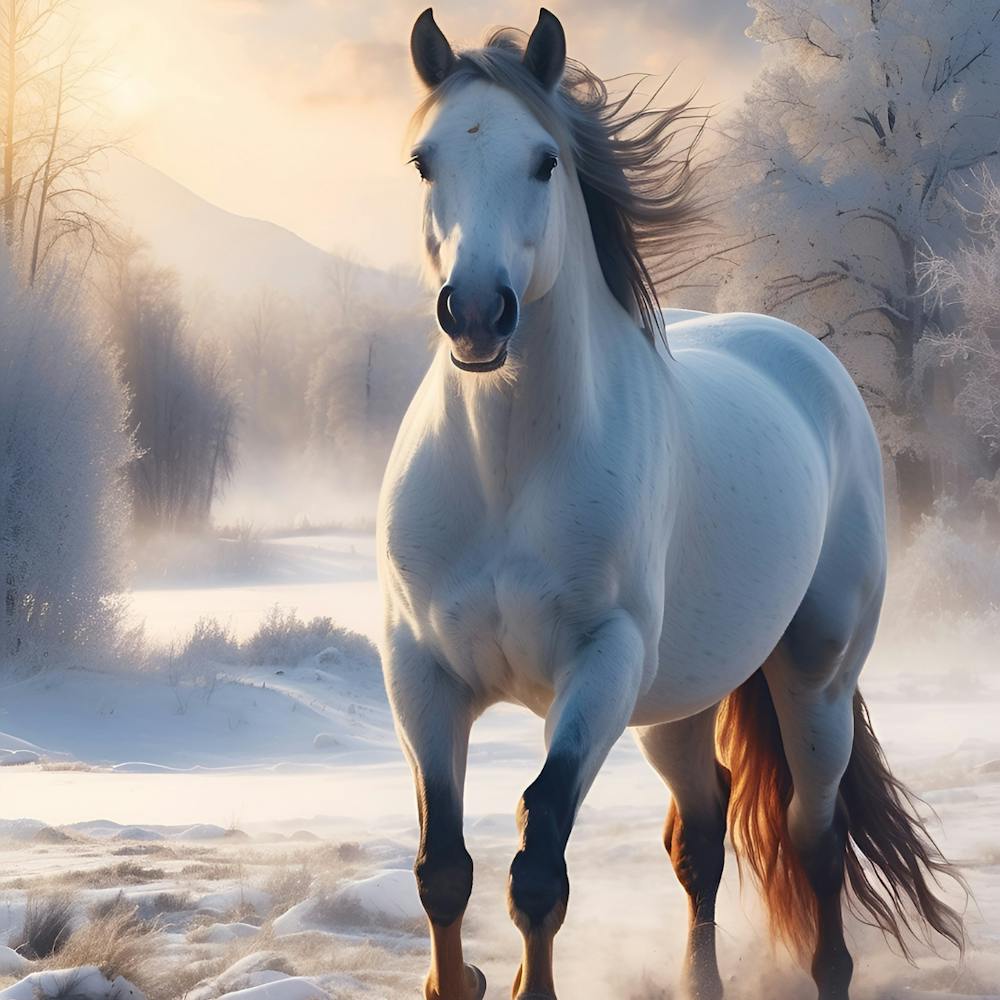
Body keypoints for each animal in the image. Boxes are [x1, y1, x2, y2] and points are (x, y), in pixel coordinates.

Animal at [376, 9, 964, 1000]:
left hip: (813, 679)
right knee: (703, 832)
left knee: (816, 837)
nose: (479, 314)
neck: (506, 475)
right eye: (423, 161)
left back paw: (829, 965)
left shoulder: (601, 666)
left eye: (545, 161)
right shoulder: (422, 672)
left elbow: (539, 862)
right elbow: (443, 869)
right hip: (676, 703)